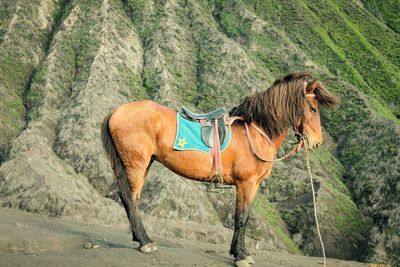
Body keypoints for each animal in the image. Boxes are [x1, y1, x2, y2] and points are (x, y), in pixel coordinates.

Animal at [101, 72, 338, 266]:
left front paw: (238, 251)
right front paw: (241, 256)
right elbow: (241, 218)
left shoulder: (249, 187)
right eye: (313, 108)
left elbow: (243, 217)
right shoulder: (247, 184)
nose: (316, 142)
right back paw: (145, 241)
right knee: (130, 199)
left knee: (129, 198)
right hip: (136, 165)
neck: (256, 132)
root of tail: (117, 111)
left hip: (138, 164)